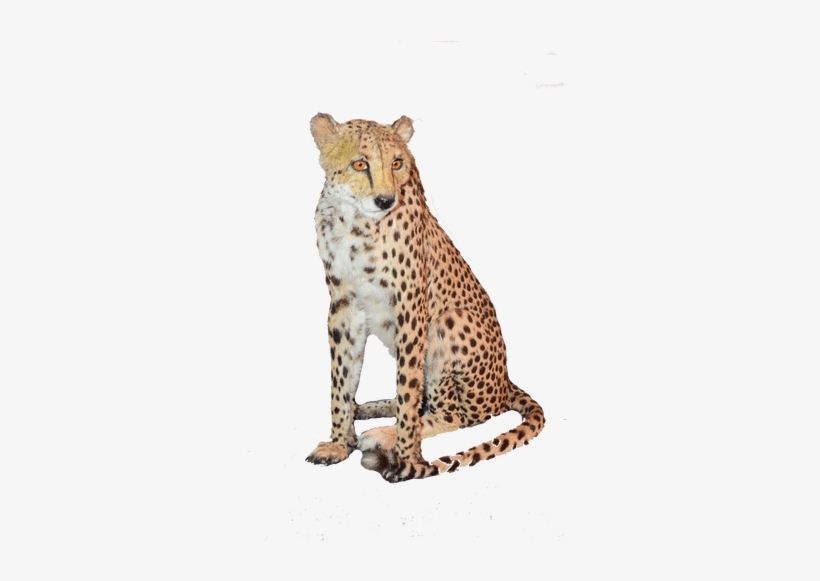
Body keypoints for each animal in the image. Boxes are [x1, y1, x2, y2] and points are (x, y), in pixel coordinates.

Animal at [305, 113, 545, 482]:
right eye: (360, 164)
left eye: (397, 163)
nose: (386, 200)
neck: (356, 222)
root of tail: (505, 384)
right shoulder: (344, 305)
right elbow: (342, 378)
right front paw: (339, 443)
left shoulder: (412, 306)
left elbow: (408, 387)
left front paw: (407, 457)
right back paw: (368, 409)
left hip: (451, 320)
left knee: (455, 415)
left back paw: (384, 432)